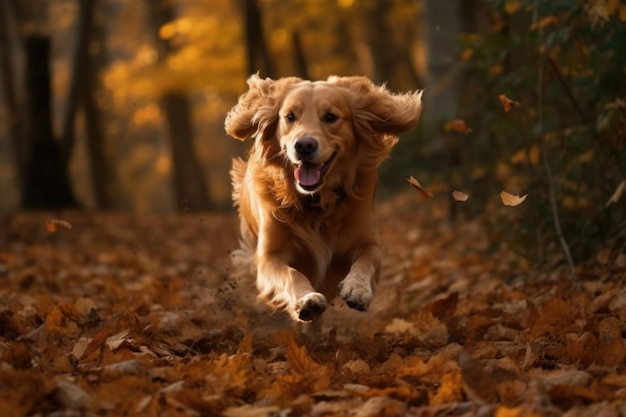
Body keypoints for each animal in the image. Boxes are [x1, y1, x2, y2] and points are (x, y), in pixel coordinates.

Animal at [222, 75, 422, 322]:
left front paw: (358, 288)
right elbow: (291, 274)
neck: (316, 201)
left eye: (330, 117)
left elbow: (365, 261)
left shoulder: (369, 243)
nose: (304, 145)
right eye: (290, 117)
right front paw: (306, 299)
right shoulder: (269, 257)